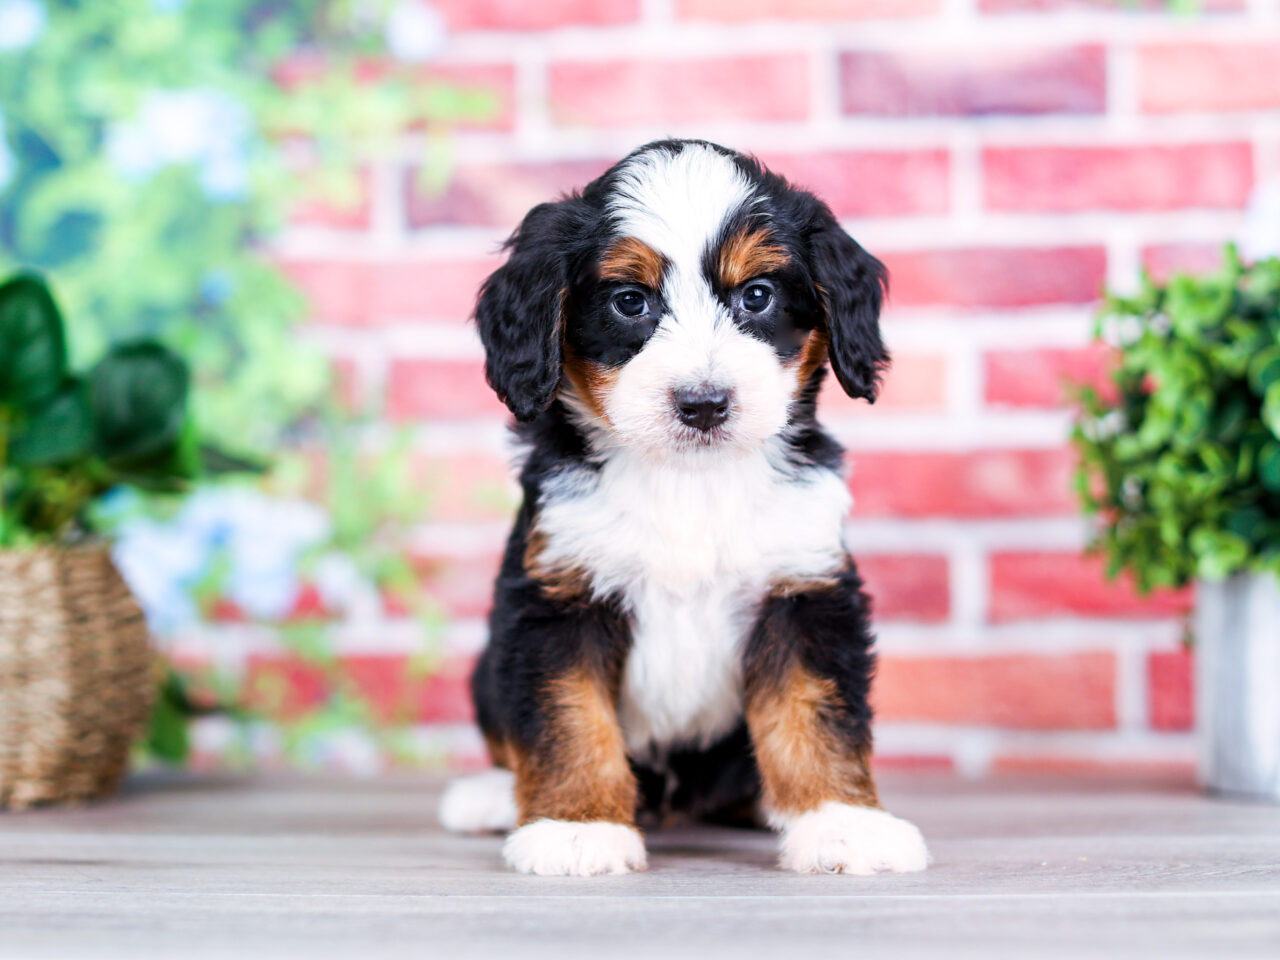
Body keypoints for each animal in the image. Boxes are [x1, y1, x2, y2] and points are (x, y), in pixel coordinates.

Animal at [440, 136, 931, 880]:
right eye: (630, 302)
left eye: (757, 296)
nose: (703, 404)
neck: (688, 480)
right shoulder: (557, 599)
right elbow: (567, 718)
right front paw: (576, 826)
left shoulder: (802, 591)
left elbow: (816, 713)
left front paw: (843, 823)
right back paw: (493, 796)